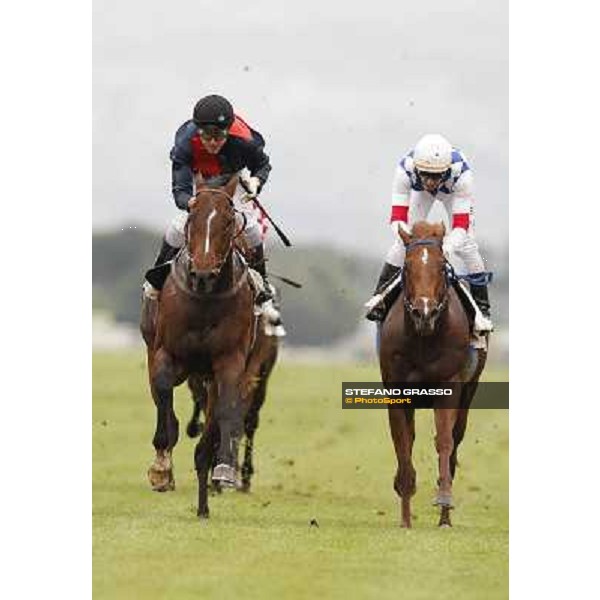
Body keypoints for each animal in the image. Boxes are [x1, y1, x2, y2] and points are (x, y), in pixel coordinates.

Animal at [141, 173, 258, 516]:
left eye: (229, 220)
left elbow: (224, 413)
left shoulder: (229, 363)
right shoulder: (165, 356)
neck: (205, 299)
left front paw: (221, 471)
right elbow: (165, 411)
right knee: (164, 406)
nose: (203, 273)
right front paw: (161, 470)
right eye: (192, 216)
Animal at [380, 223, 488, 528]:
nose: (424, 311)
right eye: (406, 266)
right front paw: (405, 517)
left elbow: (444, 441)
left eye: (442, 266)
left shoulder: (448, 387)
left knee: (455, 440)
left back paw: (445, 517)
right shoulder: (397, 393)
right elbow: (403, 444)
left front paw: (444, 501)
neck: (423, 338)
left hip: (468, 393)